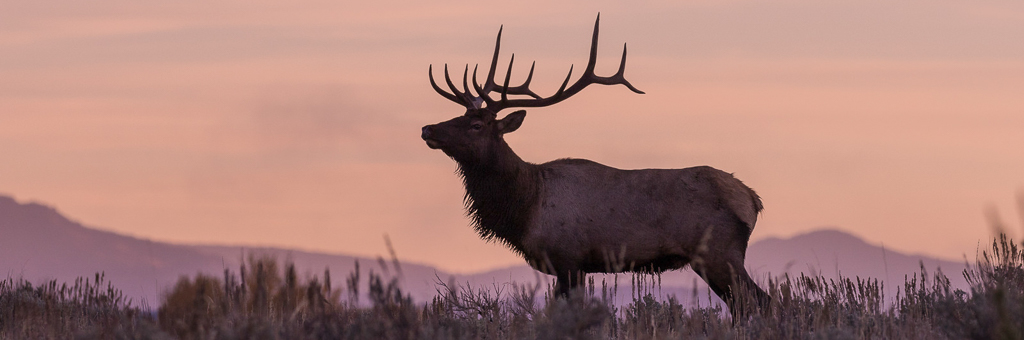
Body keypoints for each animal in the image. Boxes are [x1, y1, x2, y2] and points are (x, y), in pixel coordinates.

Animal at [417, 15, 770, 313]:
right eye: (460, 116)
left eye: (477, 125)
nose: (428, 129)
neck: (525, 207)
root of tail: (753, 200)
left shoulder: (569, 259)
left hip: (719, 253)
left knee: (761, 302)